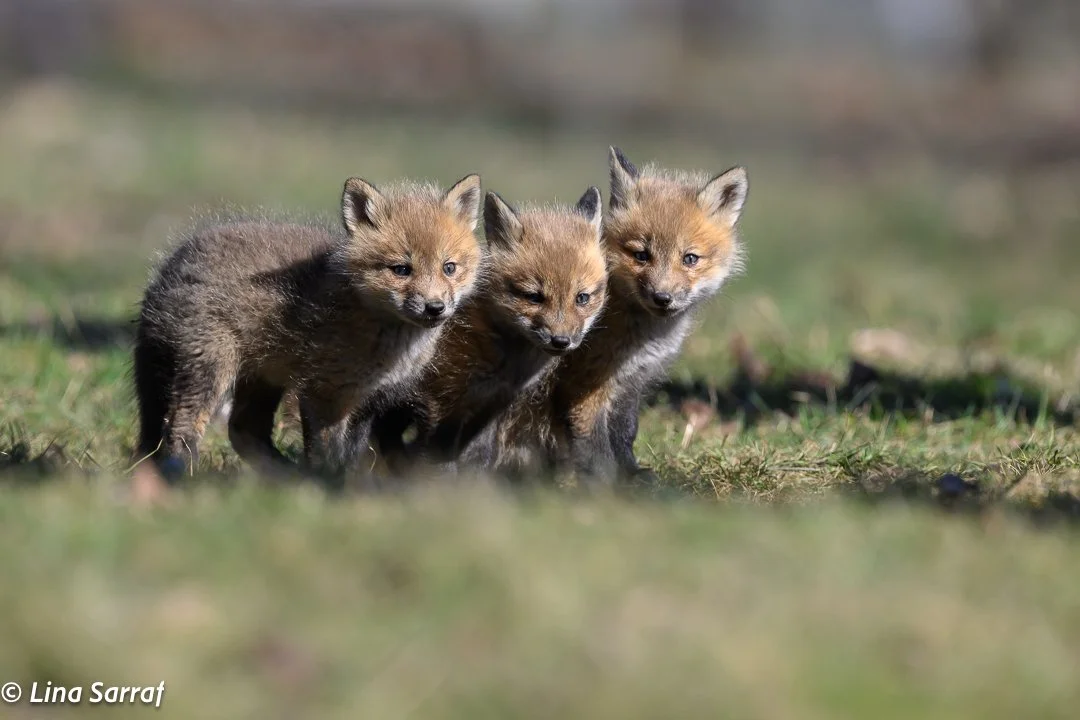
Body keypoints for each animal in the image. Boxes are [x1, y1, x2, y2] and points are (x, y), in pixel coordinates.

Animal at [132, 173, 483, 484]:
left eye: (449, 268)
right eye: (401, 270)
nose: (435, 308)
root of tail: (174, 260)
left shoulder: (364, 400)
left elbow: (351, 454)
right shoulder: (323, 392)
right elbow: (327, 453)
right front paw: (327, 485)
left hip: (263, 376)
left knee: (243, 430)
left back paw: (282, 476)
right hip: (210, 367)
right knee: (180, 425)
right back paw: (184, 478)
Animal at [369, 185, 608, 475]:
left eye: (582, 298)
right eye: (533, 297)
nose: (561, 341)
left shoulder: (492, 404)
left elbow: (475, 456)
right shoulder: (439, 401)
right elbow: (436, 457)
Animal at [464, 147, 749, 484]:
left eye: (690, 258)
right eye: (641, 255)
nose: (662, 298)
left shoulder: (630, 385)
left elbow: (625, 434)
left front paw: (633, 474)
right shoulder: (583, 386)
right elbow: (596, 448)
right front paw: (610, 486)